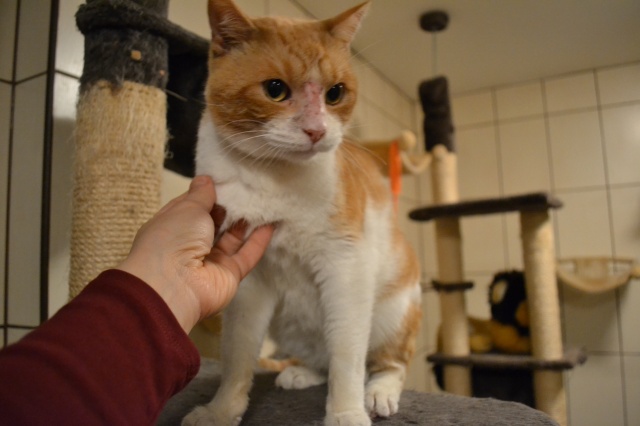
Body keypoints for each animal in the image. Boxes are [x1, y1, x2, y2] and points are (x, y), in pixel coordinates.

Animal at [182, 1, 422, 425]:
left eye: (335, 93)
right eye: (275, 90)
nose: (316, 130)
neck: (274, 178)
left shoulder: (346, 266)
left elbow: (347, 357)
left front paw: (346, 412)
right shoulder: (249, 281)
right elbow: (238, 356)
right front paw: (220, 411)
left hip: (394, 311)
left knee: (387, 363)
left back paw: (378, 394)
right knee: (321, 358)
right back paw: (300, 372)